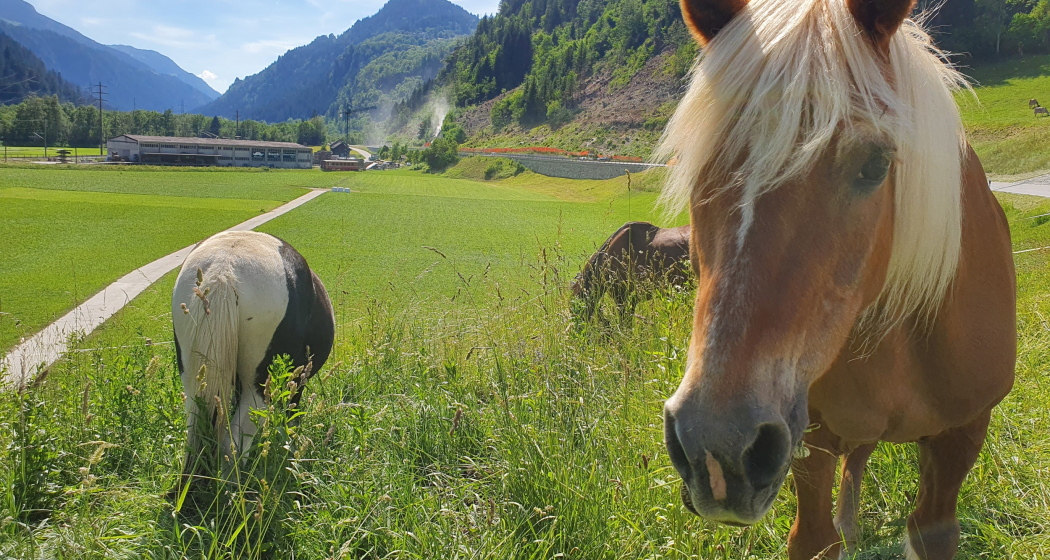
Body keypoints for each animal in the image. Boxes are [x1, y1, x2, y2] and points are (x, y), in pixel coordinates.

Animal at [172, 231, 335, 490]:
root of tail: (223, 271)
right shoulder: (297, 382)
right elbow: (292, 417)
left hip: (194, 379)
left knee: (197, 436)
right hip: (259, 387)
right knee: (233, 444)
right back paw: (234, 492)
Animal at [655, 1, 1015, 559]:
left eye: (875, 165)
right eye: (694, 170)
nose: (716, 448)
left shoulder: (962, 434)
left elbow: (932, 528)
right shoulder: (809, 439)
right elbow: (816, 538)